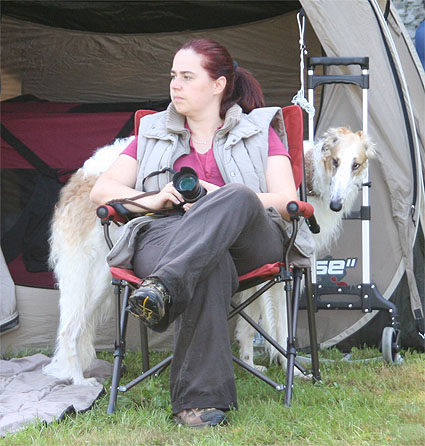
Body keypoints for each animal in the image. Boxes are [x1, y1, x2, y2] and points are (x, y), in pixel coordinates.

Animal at [234, 127, 376, 375]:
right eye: (335, 161)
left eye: (356, 164)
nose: (336, 205)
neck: (310, 179)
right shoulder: (282, 267)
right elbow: (280, 323)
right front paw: (290, 367)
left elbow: (248, 322)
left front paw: (248, 363)